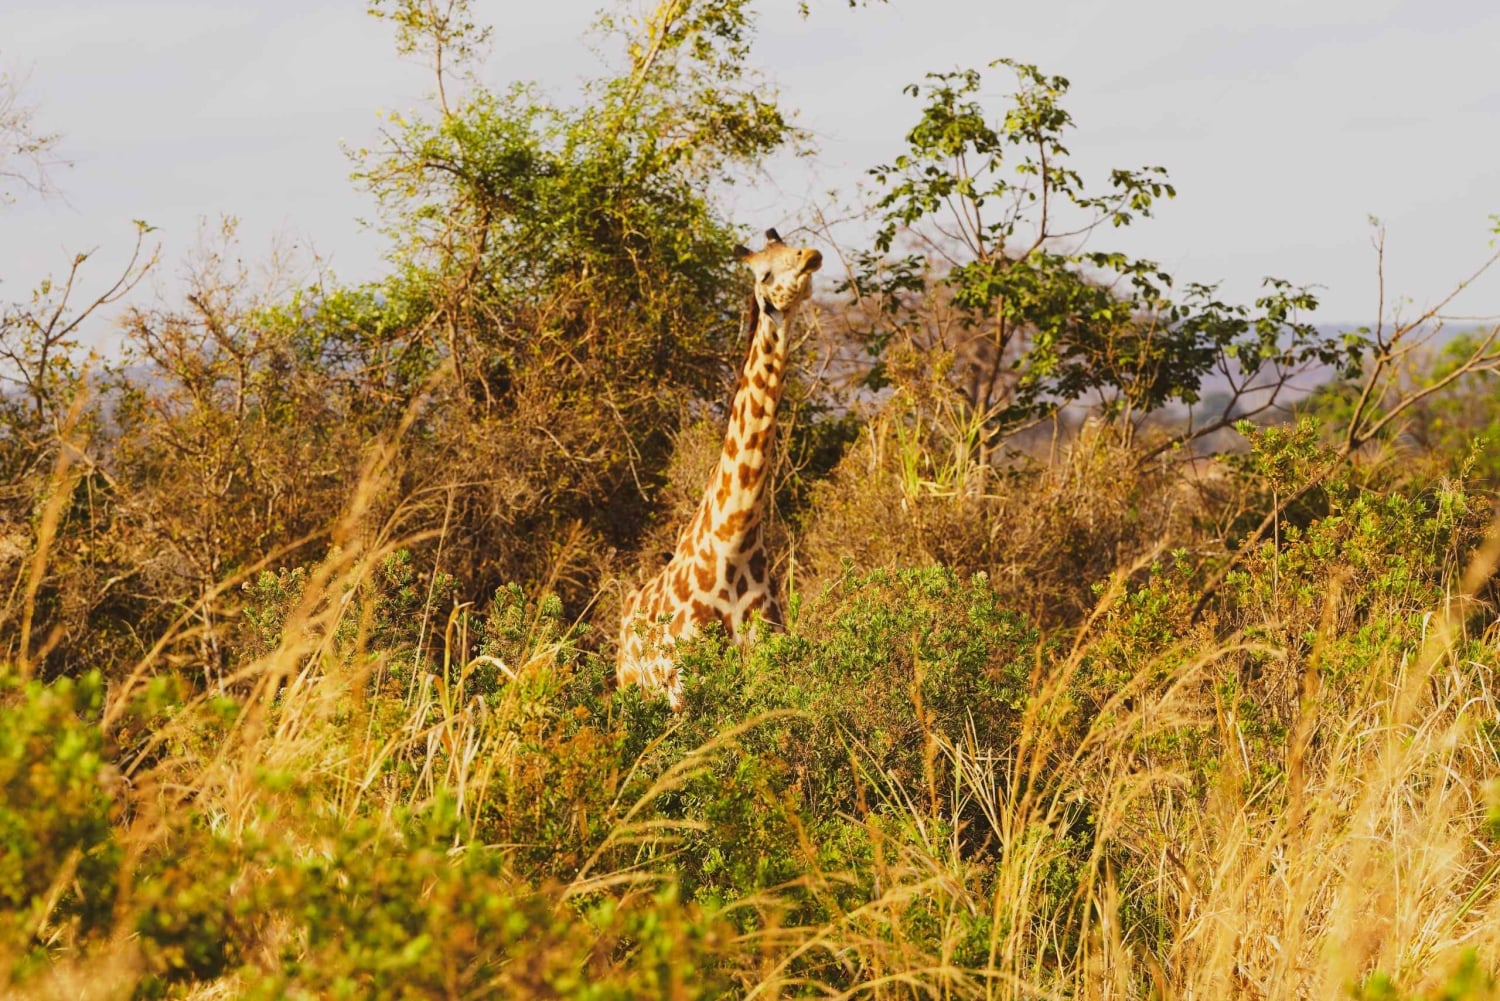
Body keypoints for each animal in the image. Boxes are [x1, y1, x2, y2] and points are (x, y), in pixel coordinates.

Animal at [617, 228, 822, 709]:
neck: (736, 538)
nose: (810, 255)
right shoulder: (685, 684)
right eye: (764, 274)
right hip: (635, 690)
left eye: (793, 250)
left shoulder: (770, 668)